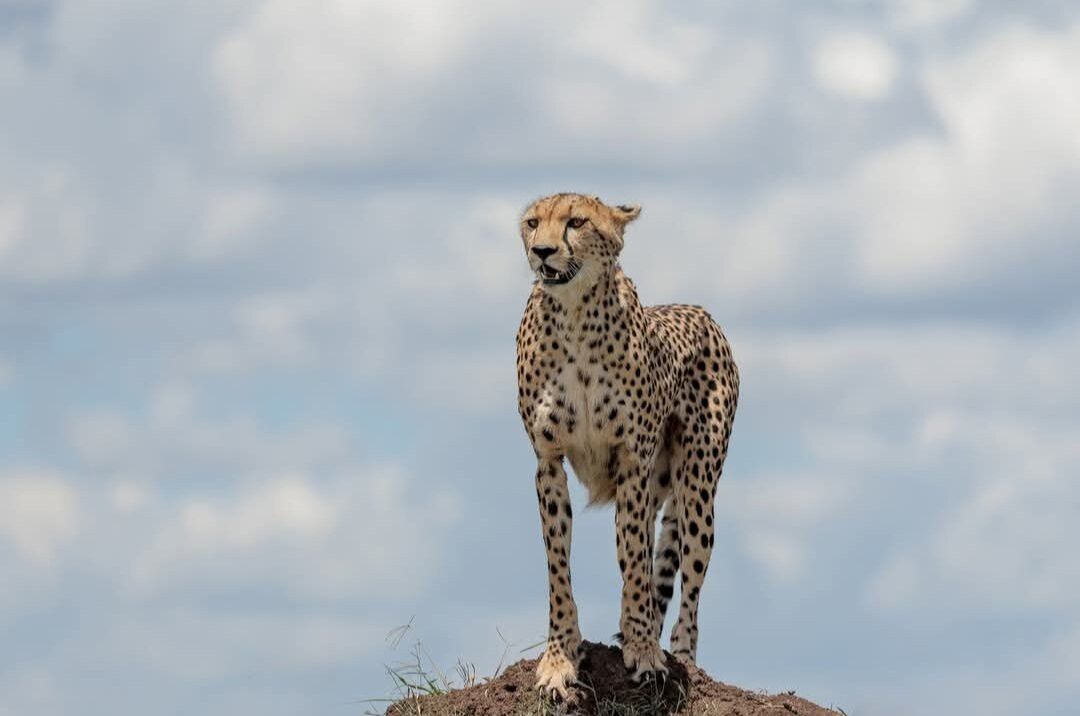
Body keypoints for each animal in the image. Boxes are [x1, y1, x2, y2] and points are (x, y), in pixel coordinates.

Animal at [516, 193, 738, 695]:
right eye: (532, 223)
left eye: (576, 222)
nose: (541, 252)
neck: (576, 318)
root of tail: (700, 311)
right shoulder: (548, 462)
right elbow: (559, 566)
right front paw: (560, 658)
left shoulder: (632, 463)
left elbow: (635, 562)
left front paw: (643, 652)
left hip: (696, 489)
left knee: (687, 587)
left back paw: (681, 659)